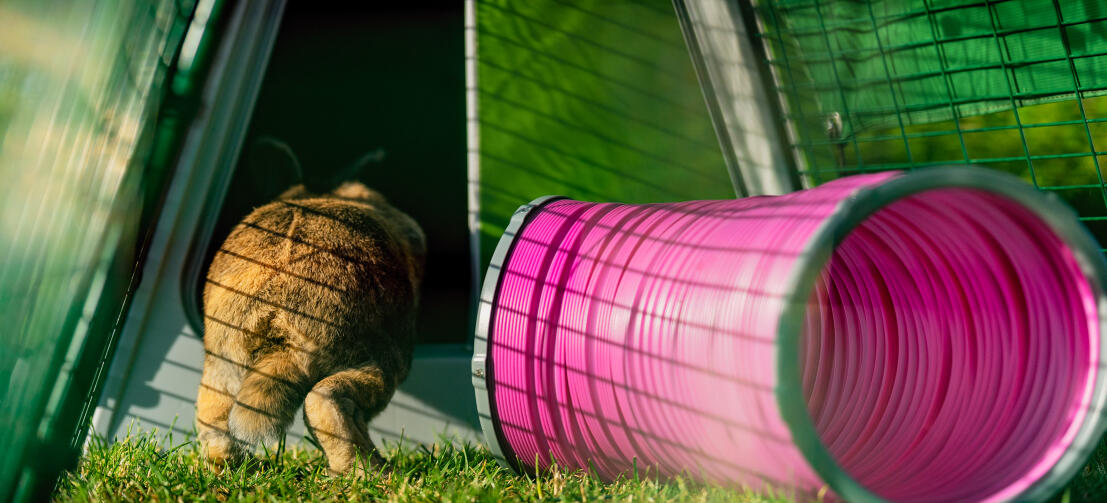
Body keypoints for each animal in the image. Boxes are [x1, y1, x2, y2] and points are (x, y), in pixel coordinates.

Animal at [197, 180, 425, 476]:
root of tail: (275, 314)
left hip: (223, 362)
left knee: (215, 424)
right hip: (378, 363)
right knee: (326, 401)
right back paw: (372, 471)